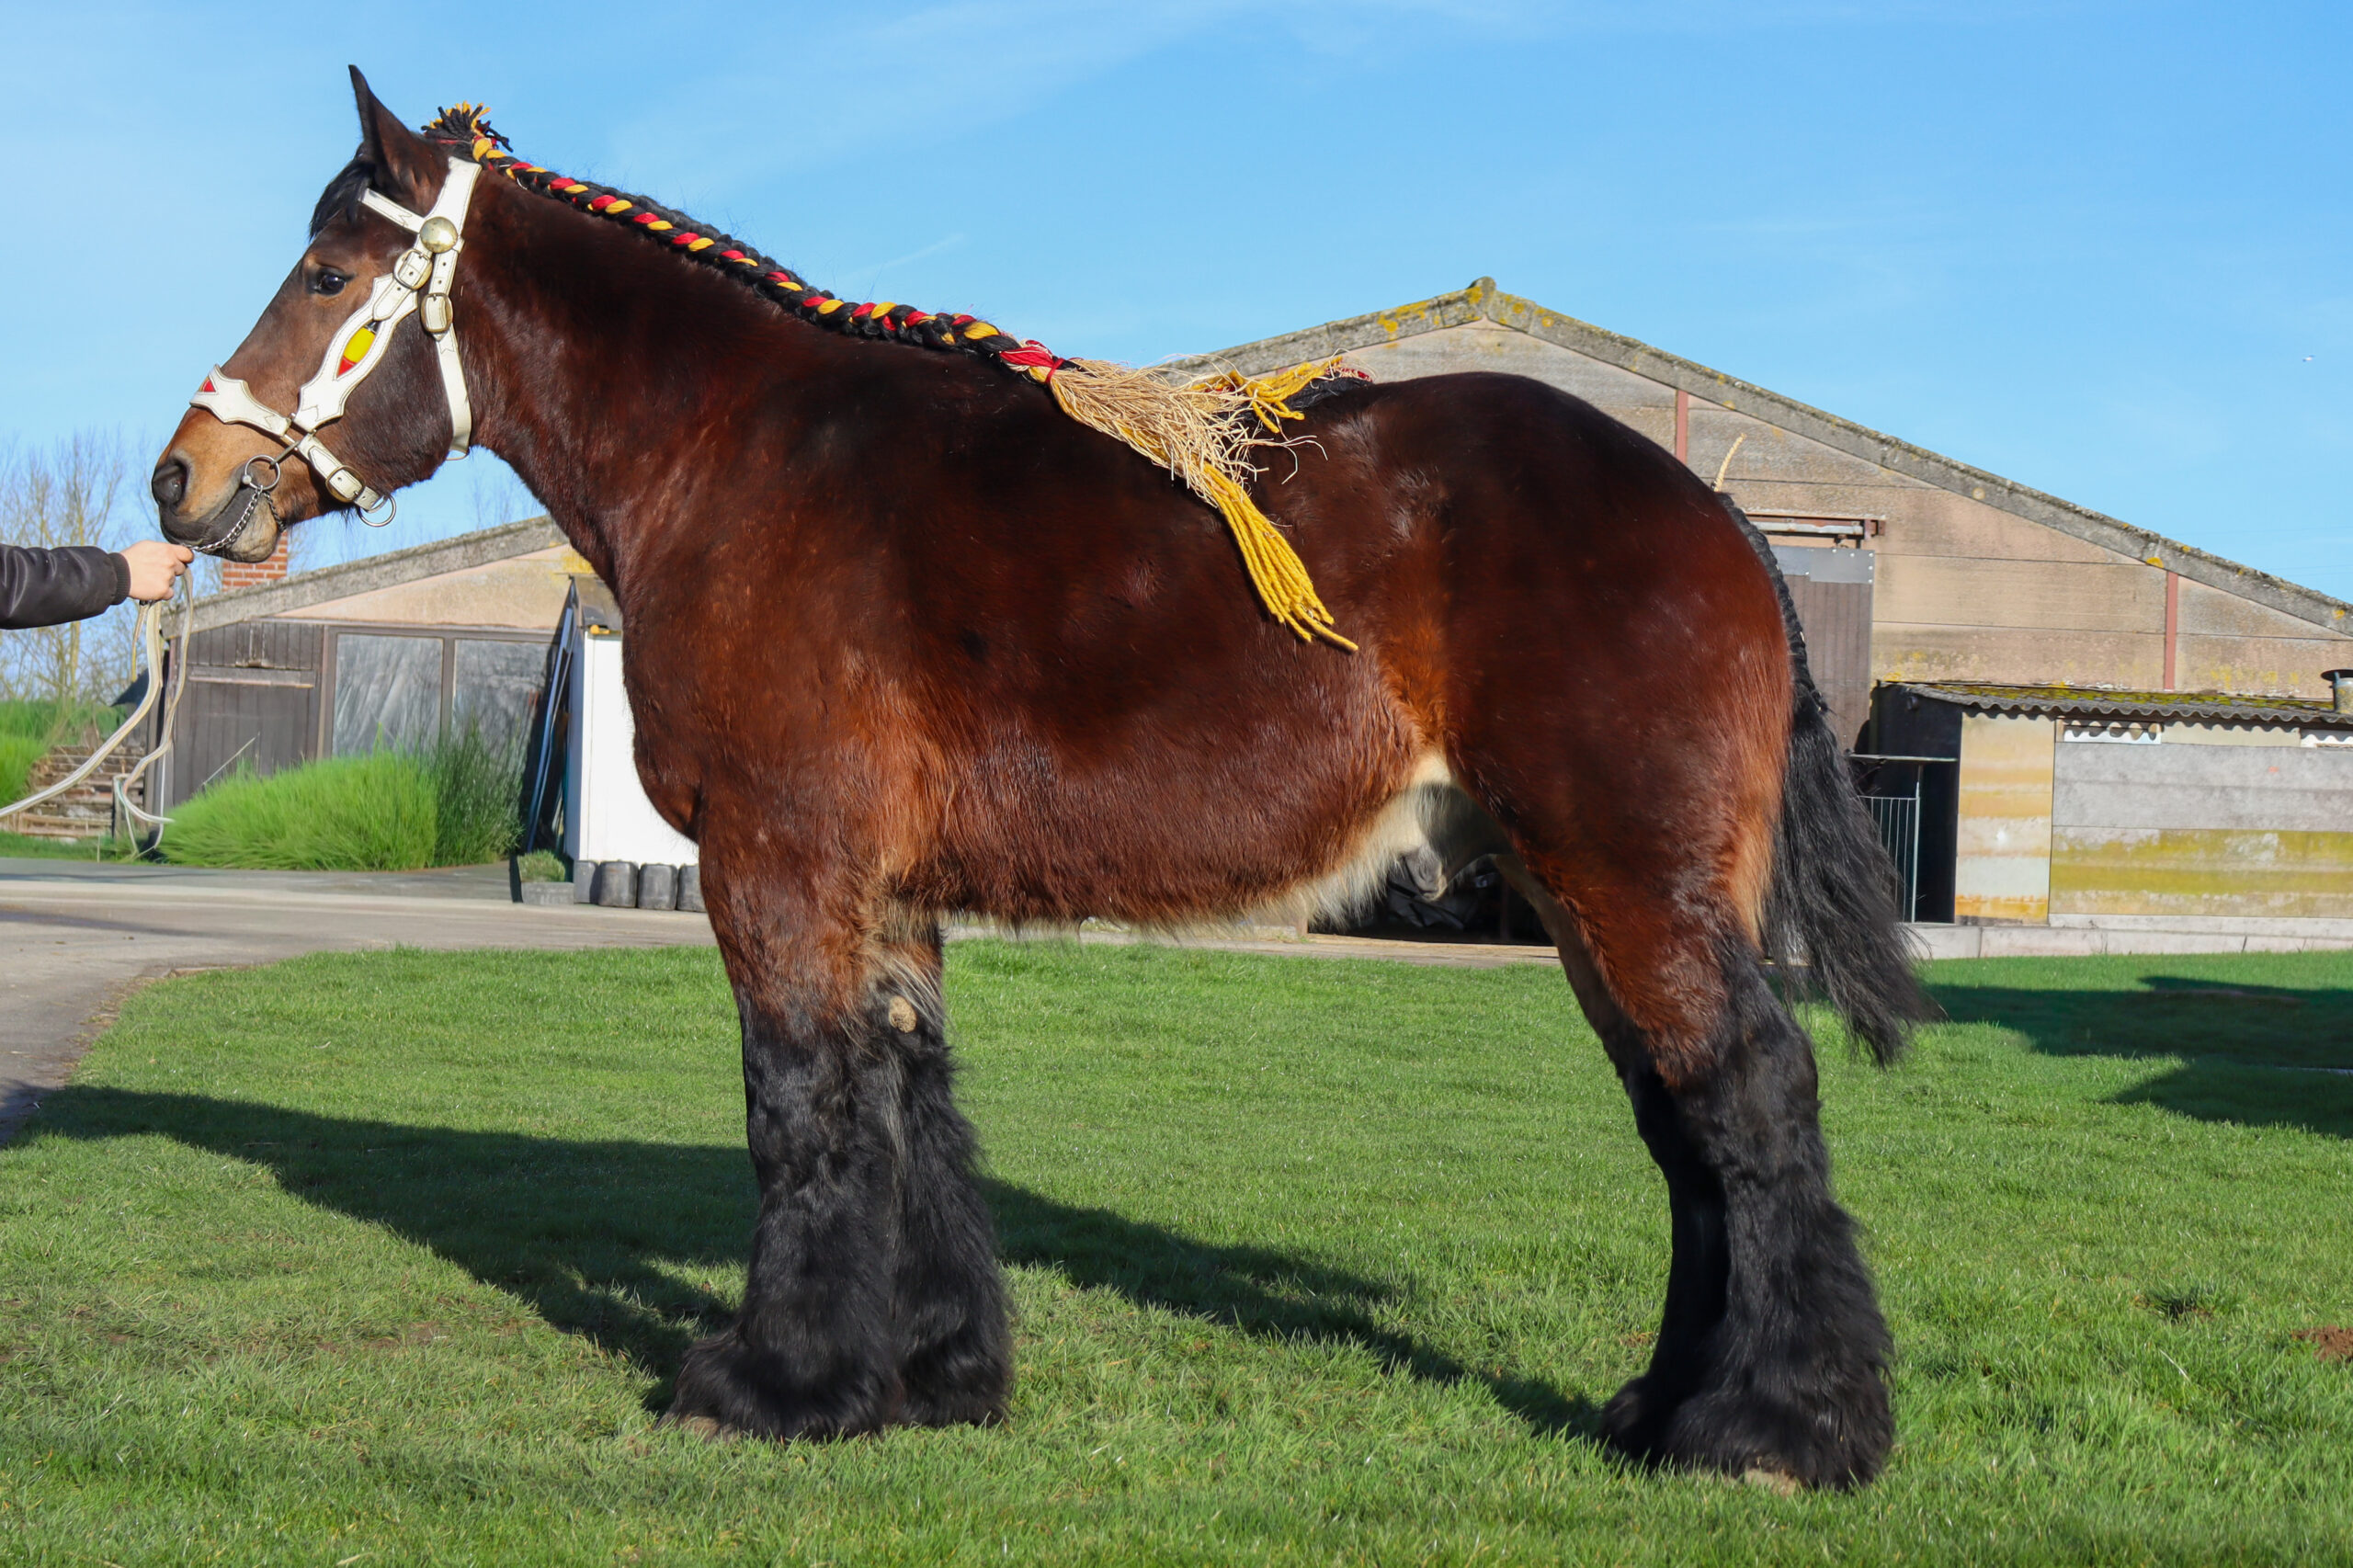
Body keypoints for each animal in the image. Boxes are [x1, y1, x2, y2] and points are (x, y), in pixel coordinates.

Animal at [151, 69, 1929, 1490]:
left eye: (327, 271)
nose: (184, 478)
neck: (739, 456)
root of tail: (1717, 515)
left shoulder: (777, 866)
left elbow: (801, 1108)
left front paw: (775, 1383)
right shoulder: (880, 890)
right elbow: (906, 1101)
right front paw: (931, 1371)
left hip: (1630, 885)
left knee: (1753, 1097)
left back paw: (1773, 1428)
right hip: (1590, 897)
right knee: (1689, 1127)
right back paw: (1662, 1408)